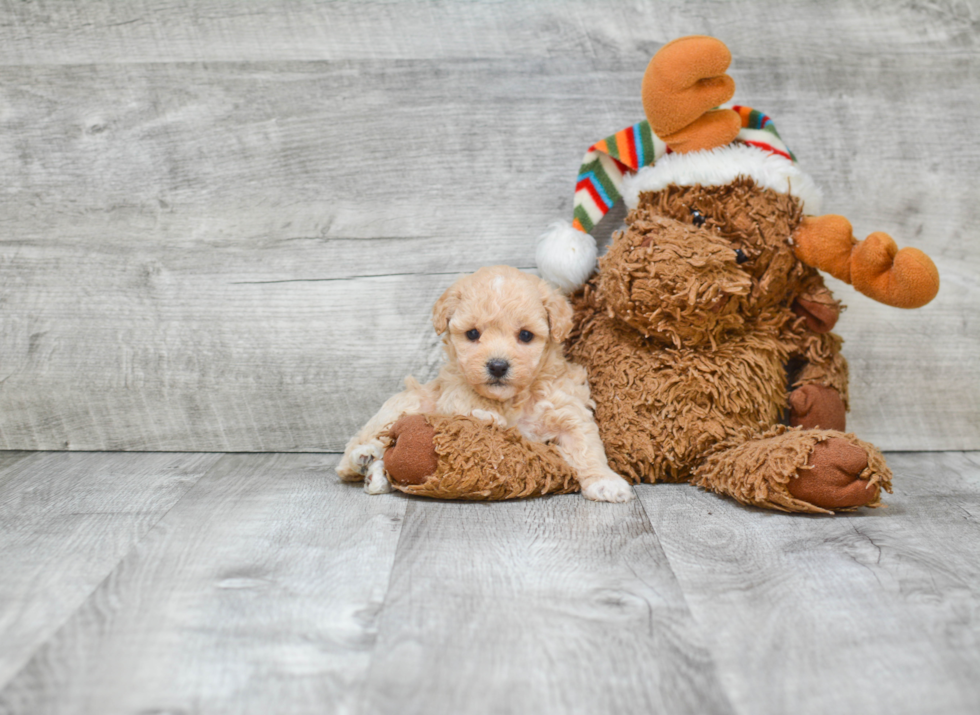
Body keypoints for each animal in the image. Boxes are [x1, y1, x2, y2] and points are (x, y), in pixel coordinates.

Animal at [338, 266, 636, 506]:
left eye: (526, 335)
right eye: (472, 334)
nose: (497, 366)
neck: (512, 399)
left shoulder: (567, 409)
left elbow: (587, 447)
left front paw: (605, 481)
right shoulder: (454, 395)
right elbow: (473, 411)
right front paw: (490, 418)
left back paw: (376, 475)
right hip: (404, 404)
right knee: (358, 447)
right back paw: (364, 459)